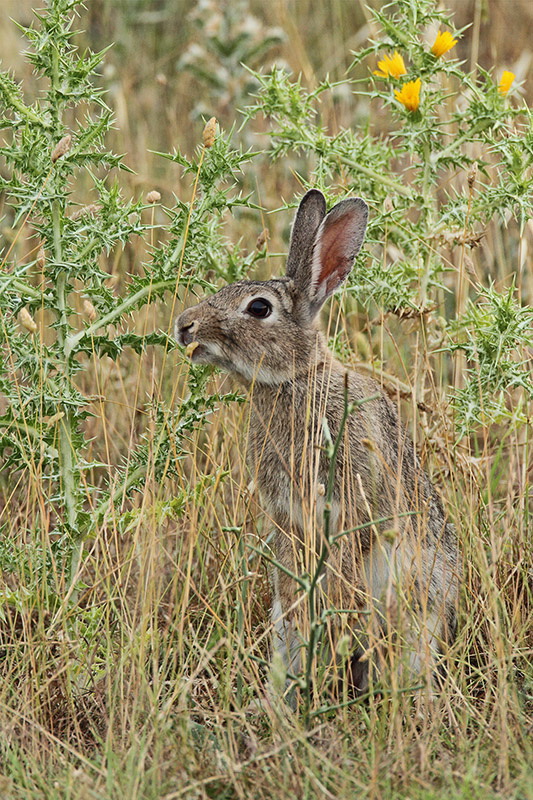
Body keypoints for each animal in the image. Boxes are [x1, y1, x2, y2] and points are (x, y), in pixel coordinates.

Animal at [176, 189, 458, 700]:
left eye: (259, 308)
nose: (185, 326)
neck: (295, 379)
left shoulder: (350, 505)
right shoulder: (287, 517)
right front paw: (302, 611)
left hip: (416, 614)